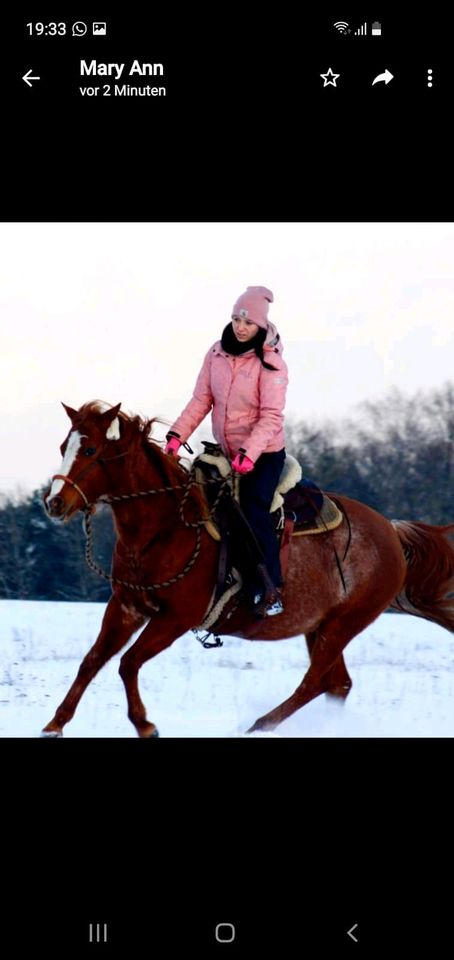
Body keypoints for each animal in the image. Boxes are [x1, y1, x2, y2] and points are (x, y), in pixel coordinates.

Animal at [40, 402, 454, 740]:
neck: (167, 527)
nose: (54, 503)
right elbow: (93, 660)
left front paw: (145, 724)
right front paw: (54, 724)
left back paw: (258, 725)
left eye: (90, 450)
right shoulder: (126, 608)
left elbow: (127, 664)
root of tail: (392, 530)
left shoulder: (175, 618)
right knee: (337, 684)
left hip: (344, 624)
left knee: (314, 682)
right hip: (320, 626)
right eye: (63, 448)